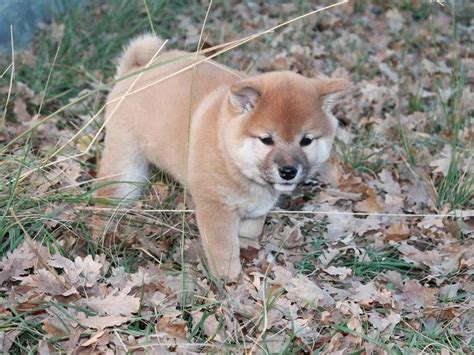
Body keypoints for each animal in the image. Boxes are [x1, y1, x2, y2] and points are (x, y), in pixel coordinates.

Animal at [96, 34, 352, 280]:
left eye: (306, 140)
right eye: (267, 139)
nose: (288, 171)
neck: (229, 154)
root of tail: (136, 69)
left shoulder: (256, 211)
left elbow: (249, 234)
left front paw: (248, 253)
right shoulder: (216, 207)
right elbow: (224, 249)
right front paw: (228, 278)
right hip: (125, 168)